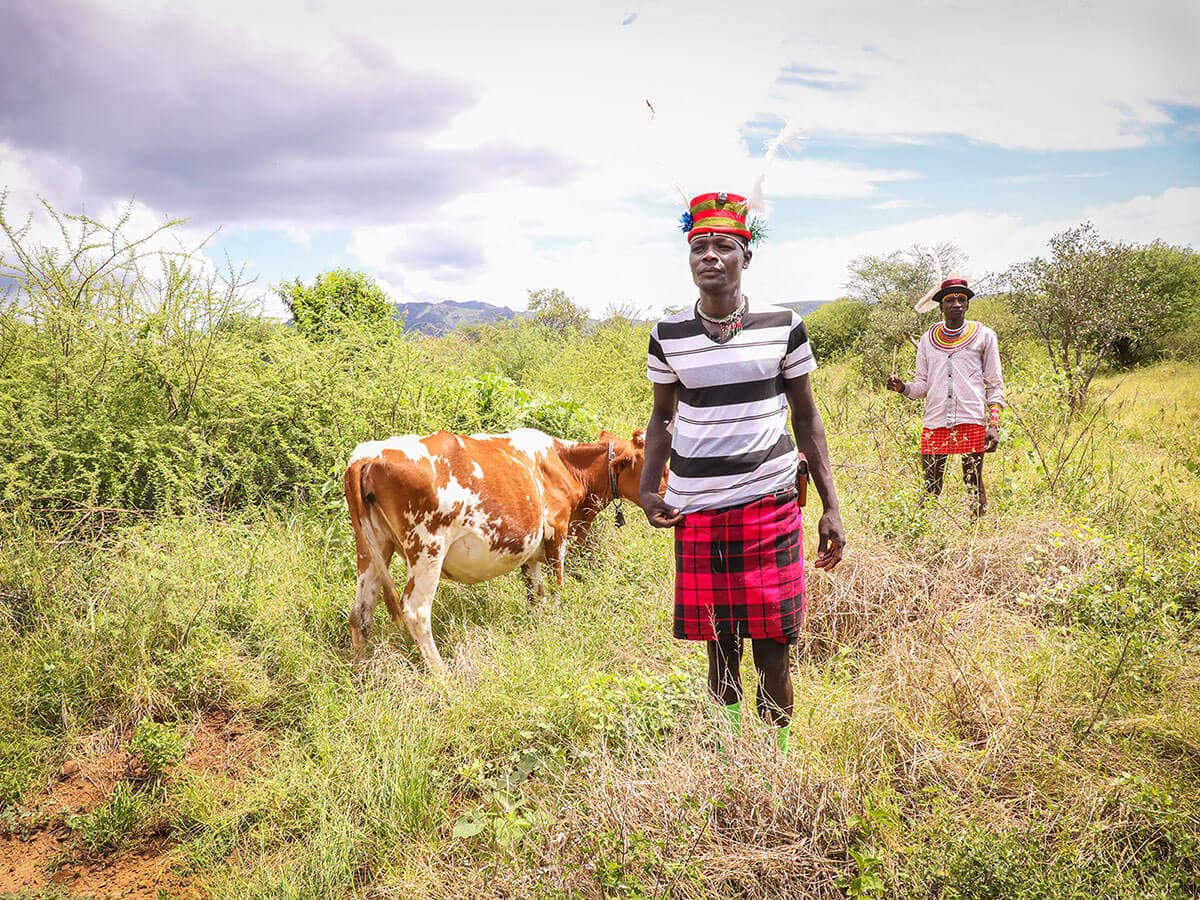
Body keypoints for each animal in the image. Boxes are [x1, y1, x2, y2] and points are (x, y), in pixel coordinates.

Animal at [343, 427, 652, 672]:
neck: (566, 465)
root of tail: (370, 455)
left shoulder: (532, 548)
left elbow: (536, 594)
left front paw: (539, 626)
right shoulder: (558, 532)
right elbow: (558, 587)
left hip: (372, 546)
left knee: (361, 611)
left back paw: (361, 673)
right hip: (428, 547)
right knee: (416, 610)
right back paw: (442, 674)